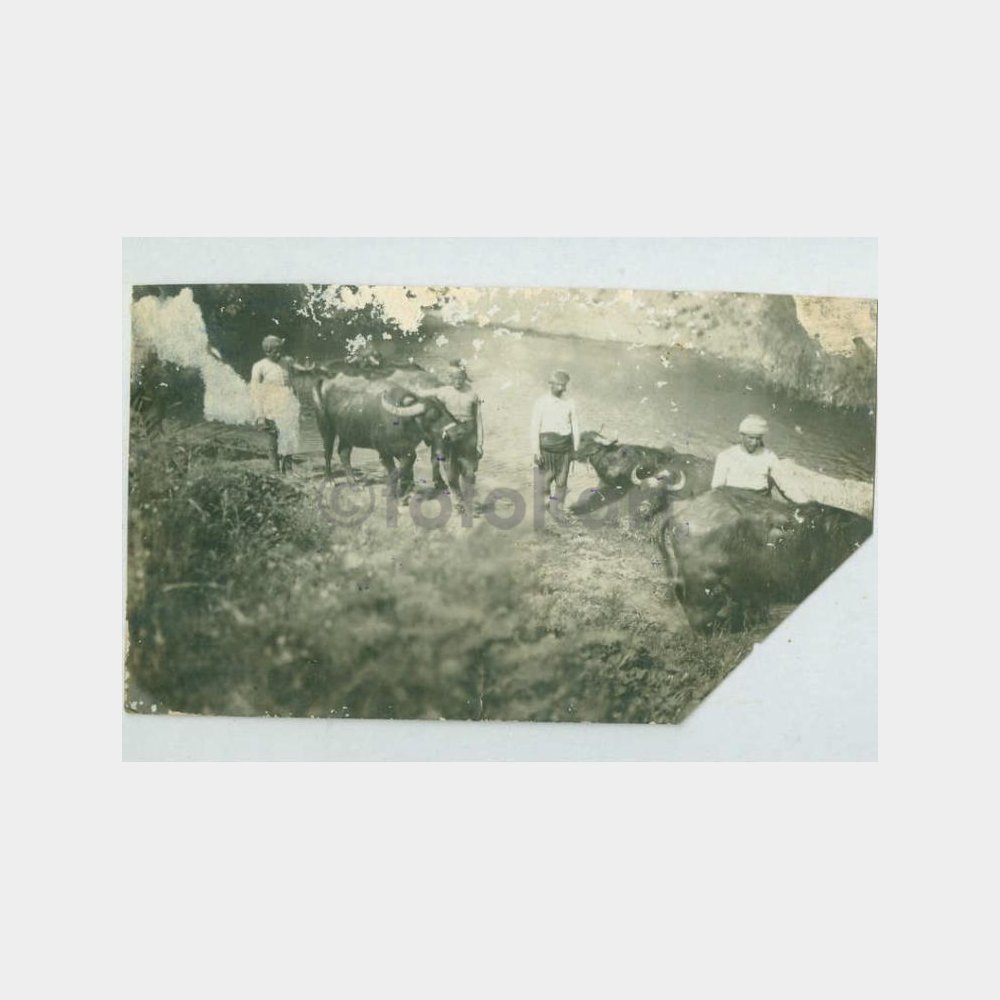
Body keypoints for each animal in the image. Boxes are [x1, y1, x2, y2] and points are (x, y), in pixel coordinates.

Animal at [311, 371, 455, 499]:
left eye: (445, 408)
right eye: (433, 416)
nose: (452, 429)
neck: (402, 422)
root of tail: (326, 381)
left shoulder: (406, 449)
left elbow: (408, 465)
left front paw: (407, 488)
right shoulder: (384, 451)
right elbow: (394, 471)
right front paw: (393, 493)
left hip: (347, 434)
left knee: (343, 453)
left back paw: (354, 484)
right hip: (326, 427)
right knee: (328, 453)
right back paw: (330, 480)